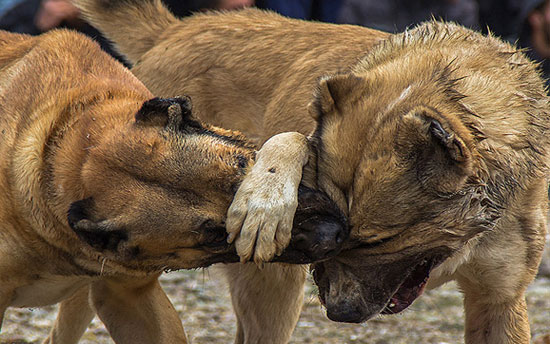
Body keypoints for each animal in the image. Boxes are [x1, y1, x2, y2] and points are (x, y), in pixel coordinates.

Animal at [76, 1, 550, 342]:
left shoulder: (499, 302)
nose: (338, 313)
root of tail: (174, 30)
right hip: (269, 290)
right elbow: (290, 137)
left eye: (379, 240)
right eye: (344, 230)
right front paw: (263, 202)